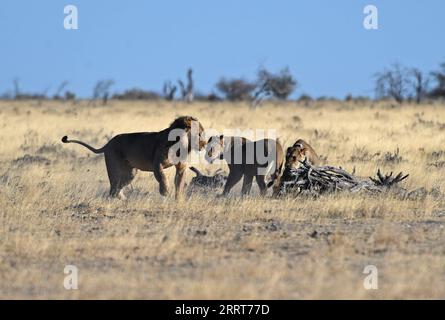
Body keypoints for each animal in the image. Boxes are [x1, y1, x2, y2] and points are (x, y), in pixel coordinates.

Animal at [61, 115, 206, 200]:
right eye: (199, 134)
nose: (205, 144)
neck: (181, 144)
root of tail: (108, 143)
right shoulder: (157, 164)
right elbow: (162, 177)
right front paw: (165, 192)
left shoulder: (181, 167)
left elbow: (179, 183)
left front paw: (178, 200)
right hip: (114, 168)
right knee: (113, 187)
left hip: (130, 173)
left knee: (118, 187)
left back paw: (124, 200)